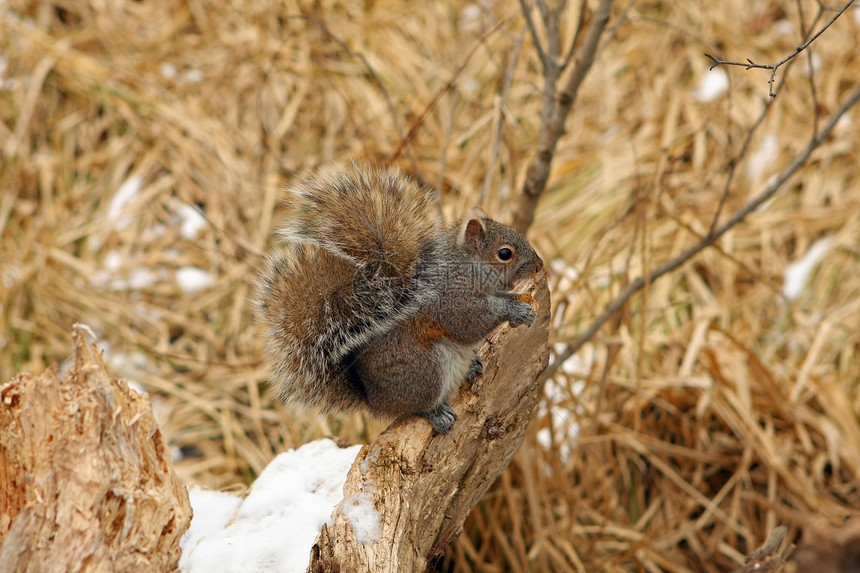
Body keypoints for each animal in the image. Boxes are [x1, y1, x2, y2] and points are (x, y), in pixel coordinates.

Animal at [252, 163, 540, 432]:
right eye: (505, 253)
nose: (539, 266)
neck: (464, 267)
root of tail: (374, 401)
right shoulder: (450, 300)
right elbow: (469, 323)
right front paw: (514, 310)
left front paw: (518, 298)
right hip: (426, 370)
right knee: (414, 407)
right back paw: (436, 413)